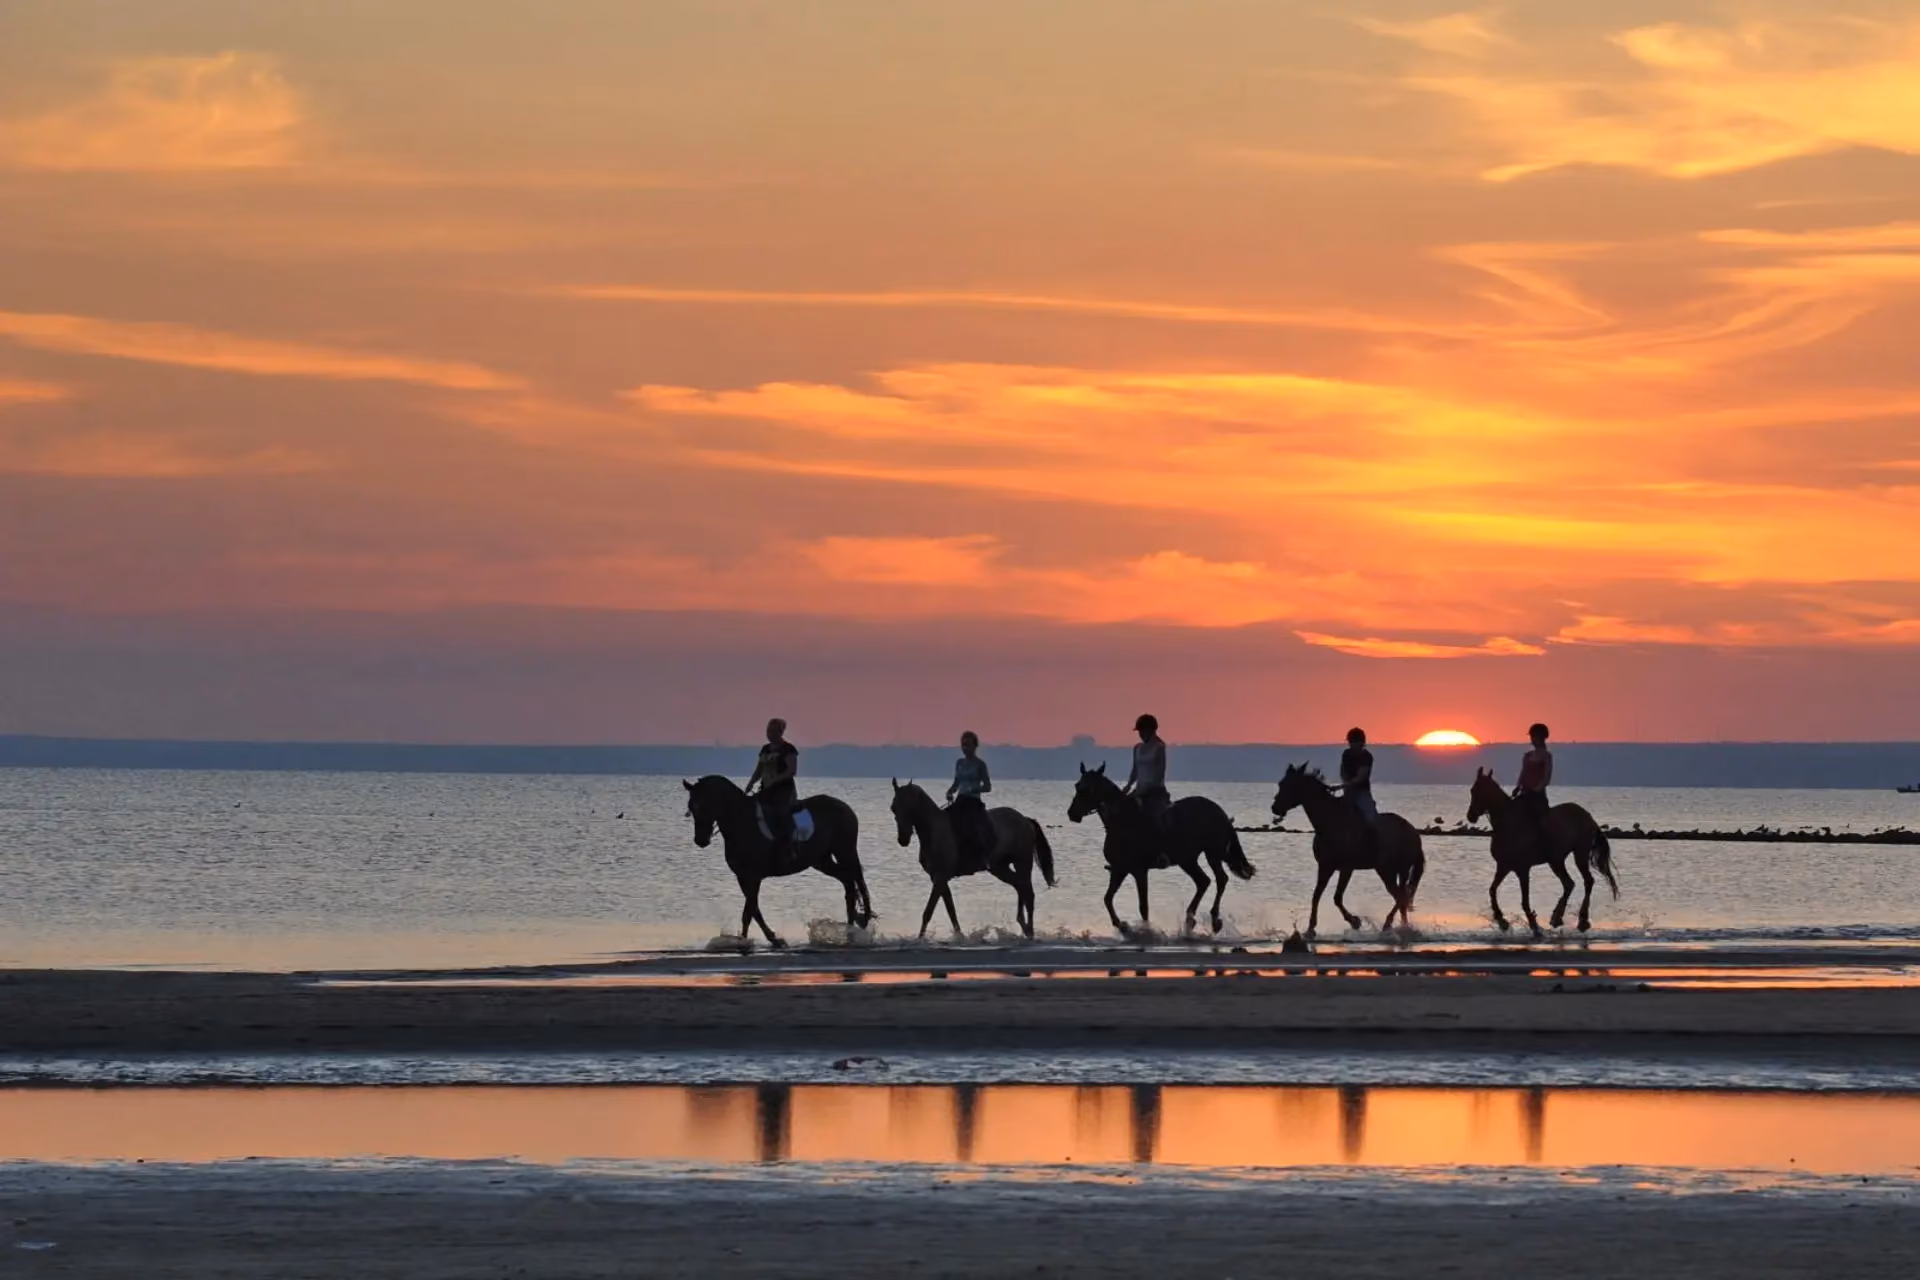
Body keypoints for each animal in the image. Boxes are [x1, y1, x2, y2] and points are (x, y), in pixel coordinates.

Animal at [682, 775, 874, 949]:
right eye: (692, 807)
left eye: (706, 805)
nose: (700, 840)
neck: (741, 821)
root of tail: (845, 807)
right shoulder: (742, 877)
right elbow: (754, 910)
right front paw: (765, 939)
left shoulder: (753, 876)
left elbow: (748, 911)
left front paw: (750, 941)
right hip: (822, 860)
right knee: (848, 883)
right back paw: (849, 930)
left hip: (845, 851)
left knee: (853, 883)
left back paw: (853, 930)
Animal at [889, 780, 1057, 939]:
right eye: (894, 808)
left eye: (909, 807)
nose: (903, 839)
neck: (934, 831)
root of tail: (1025, 819)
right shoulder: (938, 878)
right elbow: (951, 910)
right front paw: (959, 936)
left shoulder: (940, 877)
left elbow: (928, 912)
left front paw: (920, 939)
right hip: (1000, 868)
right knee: (1019, 886)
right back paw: (1024, 925)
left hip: (1022, 862)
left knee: (1028, 892)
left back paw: (1030, 930)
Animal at [1066, 763, 1255, 937]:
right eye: (1077, 785)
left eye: (1089, 789)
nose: (1072, 814)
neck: (1122, 821)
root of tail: (1219, 811)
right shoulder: (1120, 869)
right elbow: (1107, 898)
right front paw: (1123, 926)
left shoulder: (1139, 871)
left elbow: (1143, 906)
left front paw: (1145, 930)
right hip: (1187, 860)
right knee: (1203, 881)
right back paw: (1190, 920)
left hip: (1212, 853)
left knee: (1220, 879)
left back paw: (1214, 920)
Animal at [1270, 763, 1426, 935]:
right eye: (1280, 784)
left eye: (1290, 785)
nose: (1275, 808)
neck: (1330, 822)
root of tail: (1413, 832)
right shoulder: (1325, 866)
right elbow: (1316, 895)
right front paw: (1311, 928)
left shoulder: (1346, 868)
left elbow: (1337, 897)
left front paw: (1354, 921)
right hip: (1393, 871)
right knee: (1401, 897)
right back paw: (1402, 927)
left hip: (1392, 870)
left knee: (1401, 897)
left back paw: (1389, 924)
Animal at [1467, 768, 1619, 937]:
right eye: (1472, 790)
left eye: (1483, 791)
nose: (1471, 816)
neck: (1508, 823)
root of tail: (1588, 816)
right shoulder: (1503, 866)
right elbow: (1492, 890)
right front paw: (1502, 921)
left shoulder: (1522, 869)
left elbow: (1525, 901)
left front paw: (1534, 926)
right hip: (1557, 860)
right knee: (1569, 883)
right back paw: (1557, 918)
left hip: (1579, 853)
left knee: (1587, 881)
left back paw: (1581, 920)